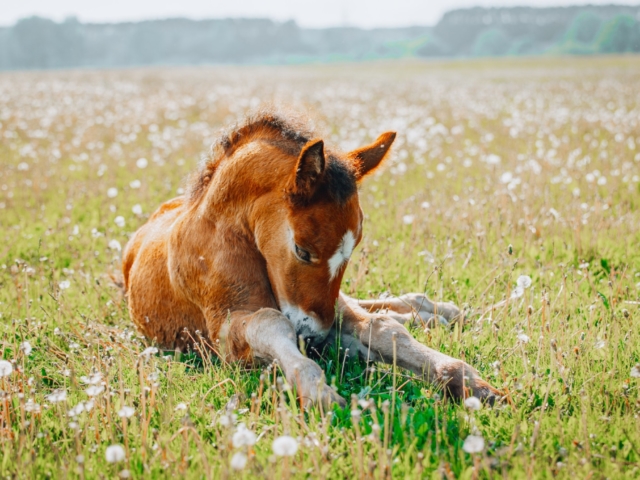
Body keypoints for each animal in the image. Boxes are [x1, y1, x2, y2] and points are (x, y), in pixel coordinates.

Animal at [122, 110, 498, 406]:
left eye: (353, 248)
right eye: (302, 250)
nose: (315, 335)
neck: (225, 233)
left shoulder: (329, 309)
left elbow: (381, 328)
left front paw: (466, 381)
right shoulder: (223, 334)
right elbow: (271, 323)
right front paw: (317, 391)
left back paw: (438, 312)